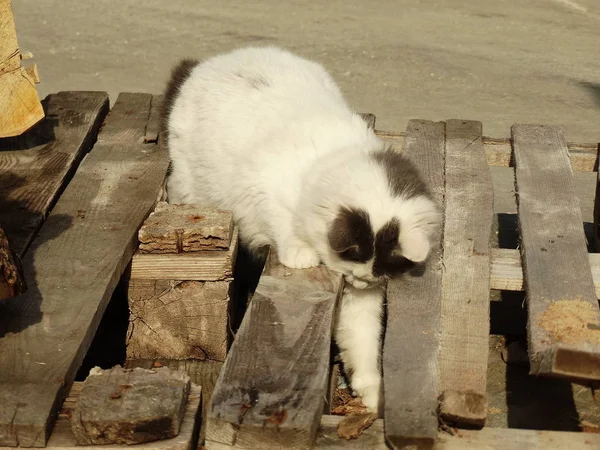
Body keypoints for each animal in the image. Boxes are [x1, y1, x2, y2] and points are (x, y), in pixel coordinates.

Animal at [162, 45, 438, 412]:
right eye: (355, 256)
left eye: (380, 268)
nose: (362, 280)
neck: (325, 161)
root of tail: (210, 62)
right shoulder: (260, 186)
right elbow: (281, 219)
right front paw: (300, 252)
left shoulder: (358, 302)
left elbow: (361, 341)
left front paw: (370, 391)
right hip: (193, 185)